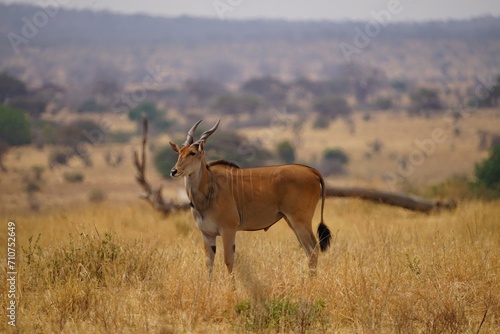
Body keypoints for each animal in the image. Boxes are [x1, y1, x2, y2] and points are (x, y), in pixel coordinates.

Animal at [169, 118, 332, 276]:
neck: (209, 188)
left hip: (300, 221)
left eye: (192, 153)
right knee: (309, 250)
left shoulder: (228, 230)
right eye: (179, 152)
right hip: (291, 221)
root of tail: (311, 171)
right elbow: (208, 264)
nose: (174, 171)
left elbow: (228, 260)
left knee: (313, 249)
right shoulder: (207, 234)